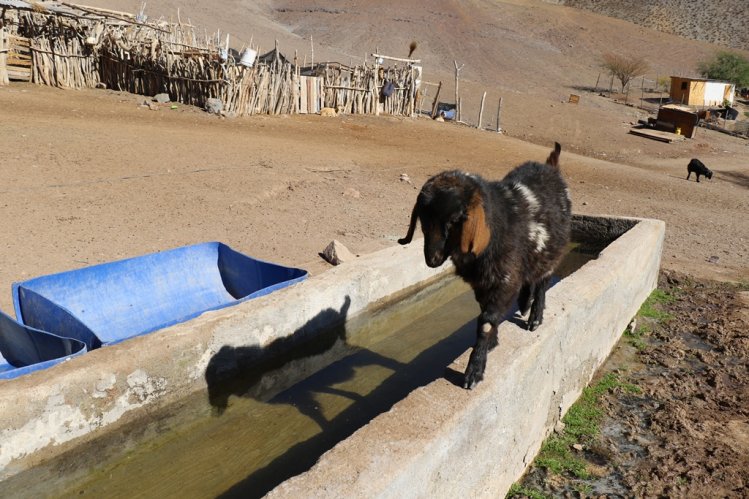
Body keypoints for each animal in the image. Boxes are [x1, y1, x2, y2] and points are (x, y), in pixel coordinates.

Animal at [400, 143, 568, 388]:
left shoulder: (504, 281)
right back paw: (524, 304)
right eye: (422, 217)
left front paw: (474, 372)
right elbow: (486, 315)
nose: (432, 259)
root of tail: (550, 167)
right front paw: (492, 343)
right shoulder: (483, 285)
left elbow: (486, 321)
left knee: (542, 283)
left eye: (455, 219)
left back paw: (534, 318)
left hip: (550, 254)